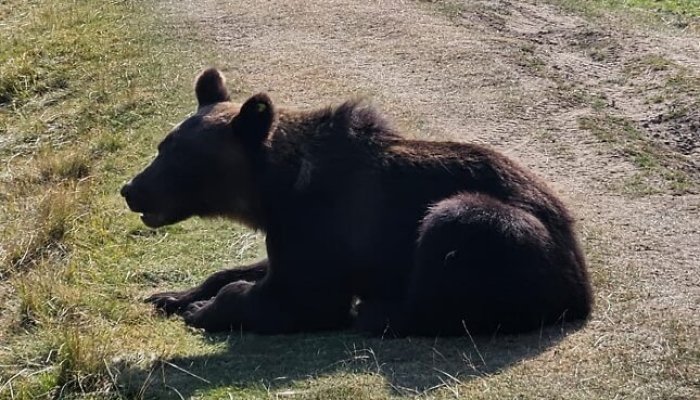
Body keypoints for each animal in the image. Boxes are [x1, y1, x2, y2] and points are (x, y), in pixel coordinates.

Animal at [120, 68, 592, 334]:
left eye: (181, 160)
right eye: (163, 146)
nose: (130, 189)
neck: (275, 192)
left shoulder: (327, 225)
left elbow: (302, 300)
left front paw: (203, 310)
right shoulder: (292, 231)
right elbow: (247, 270)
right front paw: (171, 295)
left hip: (509, 236)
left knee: (457, 230)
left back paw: (382, 314)